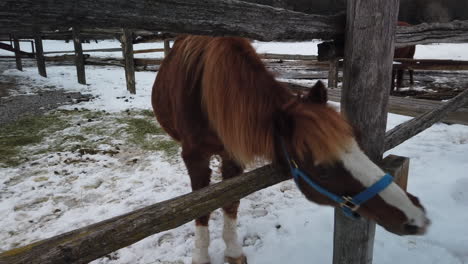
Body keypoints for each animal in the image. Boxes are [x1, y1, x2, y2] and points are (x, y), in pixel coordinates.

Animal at [152, 35, 430, 264]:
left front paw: (233, 251)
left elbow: (229, 201)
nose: (415, 216)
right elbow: (200, 206)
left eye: (357, 143)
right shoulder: (194, 157)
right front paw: (200, 256)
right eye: (323, 170)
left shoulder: (233, 153)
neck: (206, 96)